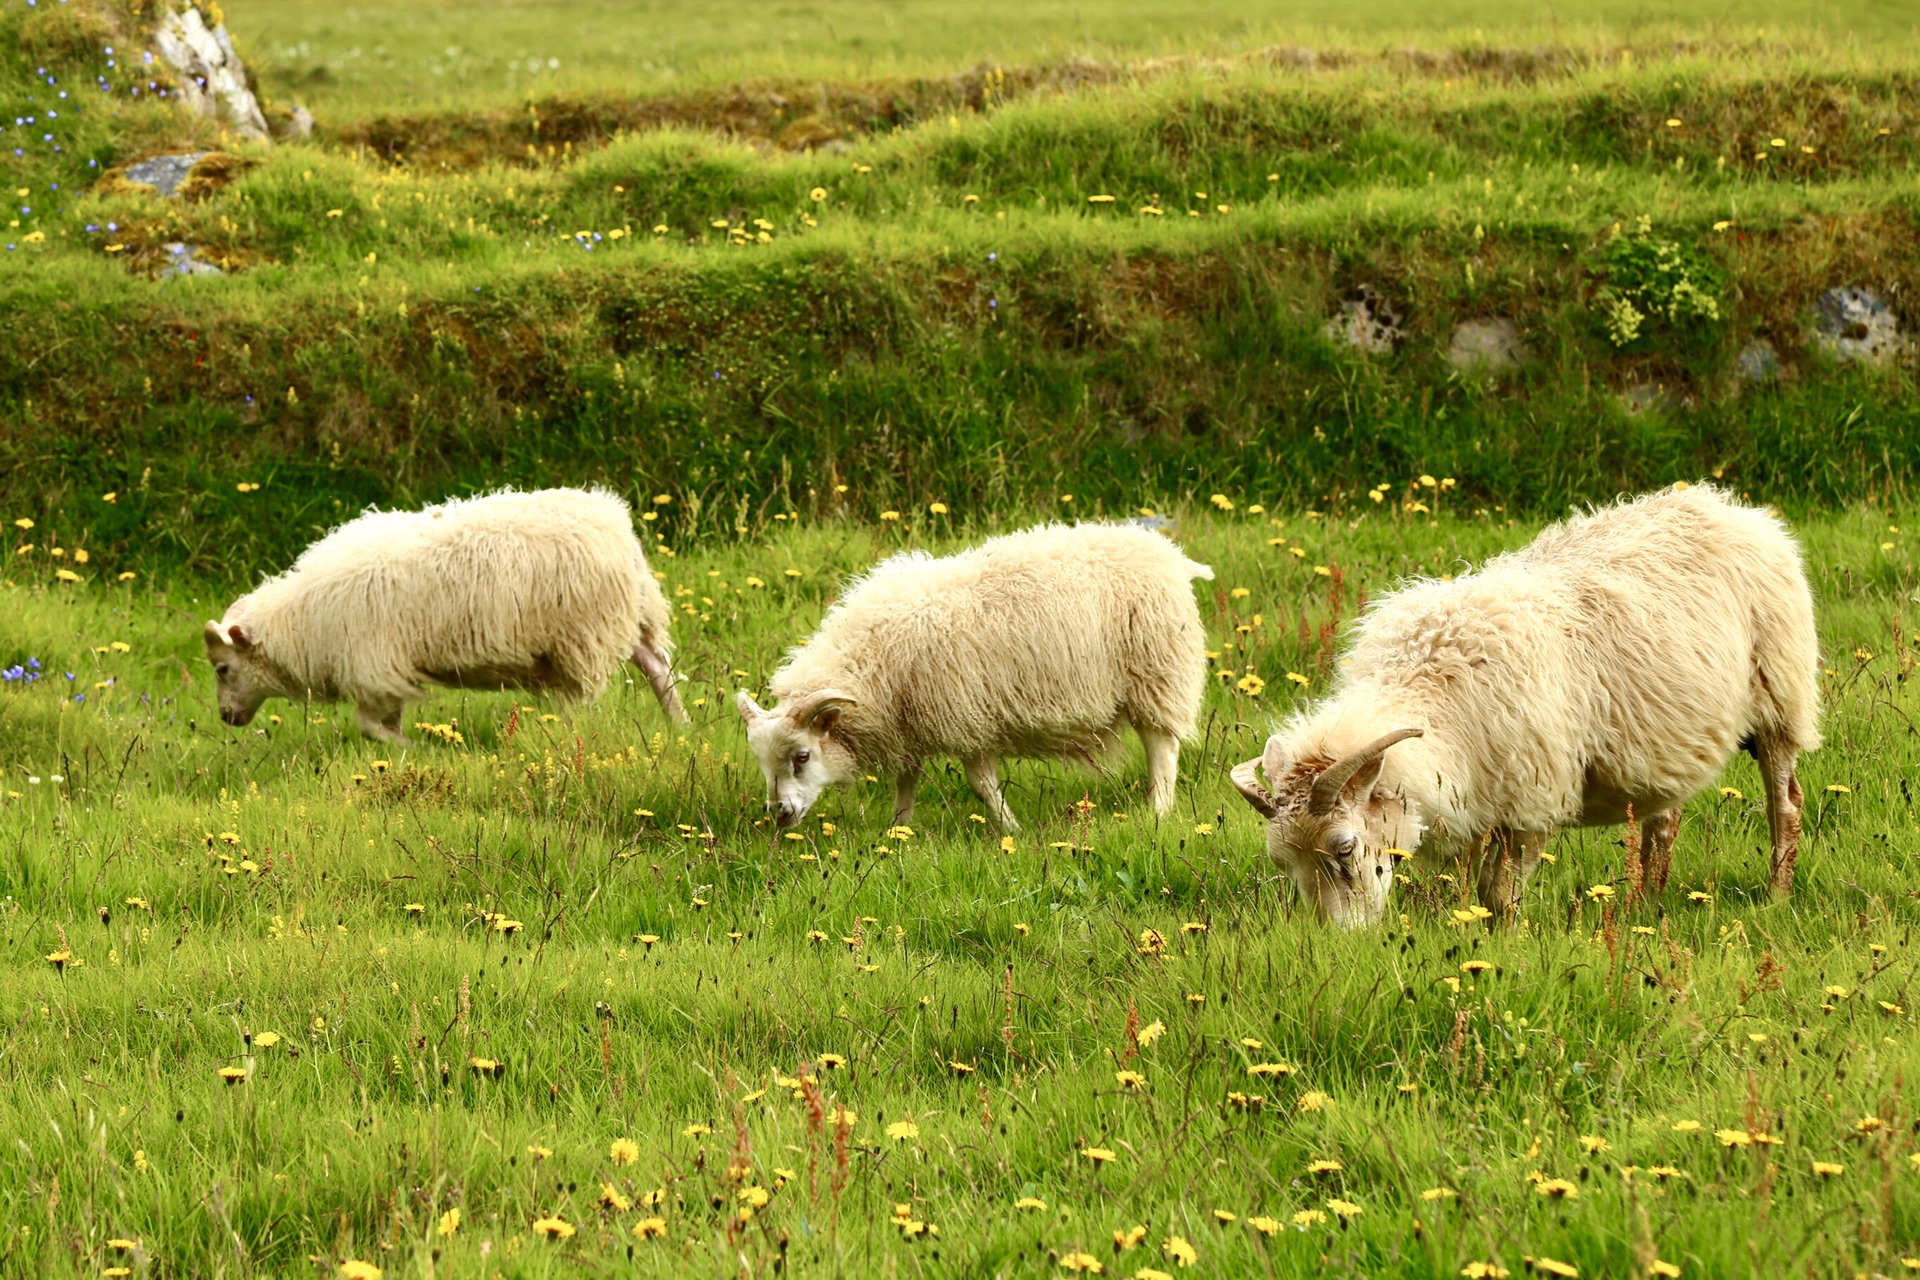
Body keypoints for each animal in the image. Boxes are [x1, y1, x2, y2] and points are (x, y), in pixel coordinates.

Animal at [200, 485, 683, 740]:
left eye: (223, 668)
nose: (226, 718)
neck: (301, 620)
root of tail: (615, 521)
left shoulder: (374, 667)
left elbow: (369, 725)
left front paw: (408, 748)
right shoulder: (385, 671)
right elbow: (383, 721)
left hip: (583, 633)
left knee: (587, 693)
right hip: (632, 618)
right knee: (658, 668)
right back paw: (680, 724)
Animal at [737, 521, 1213, 832]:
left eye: (801, 757)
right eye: (762, 761)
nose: (779, 814)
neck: (874, 660)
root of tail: (1166, 551)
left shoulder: (966, 716)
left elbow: (981, 785)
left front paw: (1011, 830)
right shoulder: (908, 721)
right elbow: (907, 778)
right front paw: (899, 829)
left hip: (1156, 672)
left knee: (1162, 748)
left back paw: (1158, 811)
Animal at [1221, 485, 1820, 924]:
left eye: (1344, 849)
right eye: (1283, 861)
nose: (1340, 942)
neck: (1425, 679)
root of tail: (1726, 506)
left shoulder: (1531, 798)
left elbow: (1498, 891)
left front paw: (1503, 945)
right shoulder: (1469, 794)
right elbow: (1468, 883)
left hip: (1780, 698)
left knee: (1786, 805)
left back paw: (1775, 897)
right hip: (1664, 739)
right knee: (1663, 822)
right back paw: (1644, 907)